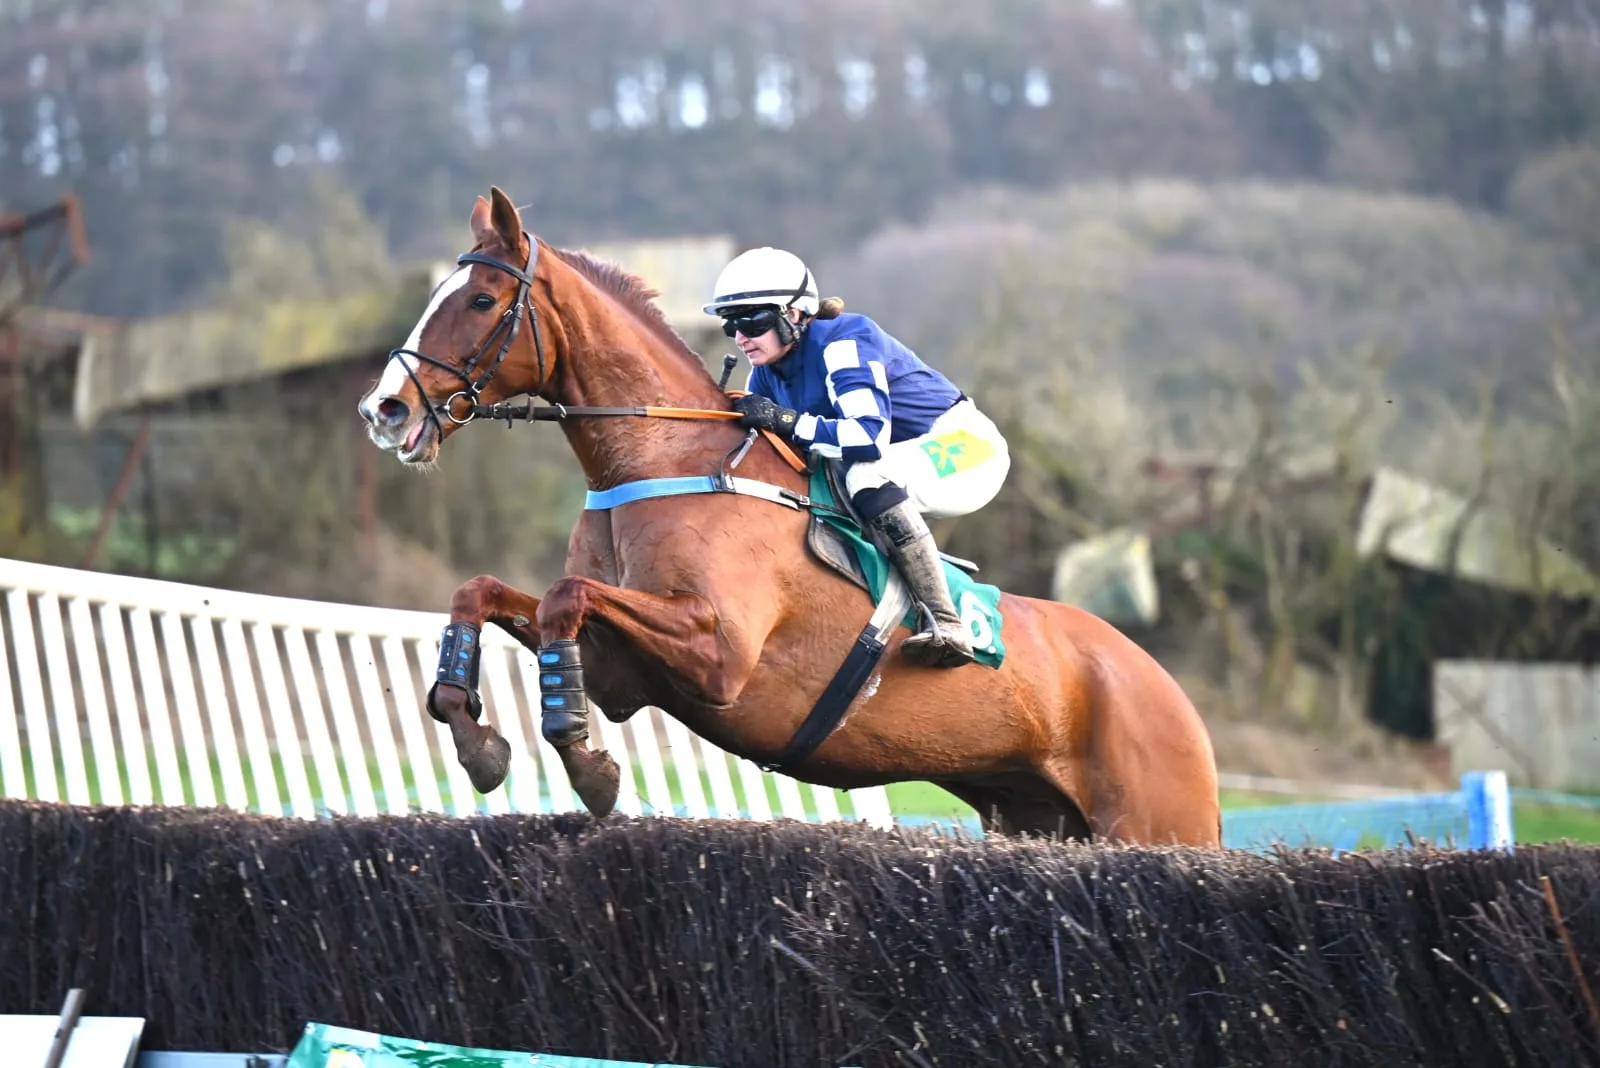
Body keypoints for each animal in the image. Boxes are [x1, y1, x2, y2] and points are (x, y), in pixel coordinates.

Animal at [355, 186, 1221, 845]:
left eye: (480, 299)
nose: (384, 410)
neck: (662, 459)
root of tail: (1171, 693)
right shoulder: (622, 666)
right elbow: (485, 593)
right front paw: (475, 736)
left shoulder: (718, 653)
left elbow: (569, 599)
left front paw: (587, 763)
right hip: (1039, 815)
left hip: (1155, 823)